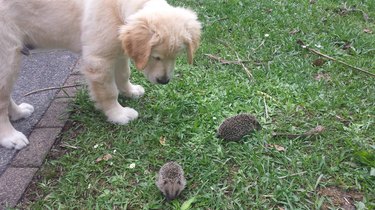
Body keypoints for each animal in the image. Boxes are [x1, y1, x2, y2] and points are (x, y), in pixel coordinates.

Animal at [0, 0, 201, 151]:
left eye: (176, 56)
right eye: (155, 56)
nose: (164, 81)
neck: (117, 9)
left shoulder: (119, 49)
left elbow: (124, 74)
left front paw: (131, 91)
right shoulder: (99, 62)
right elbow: (109, 92)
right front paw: (118, 114)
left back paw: (19, 113)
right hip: (8, 56)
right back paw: (11, 137)